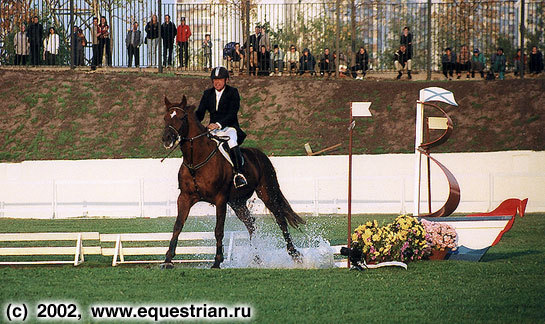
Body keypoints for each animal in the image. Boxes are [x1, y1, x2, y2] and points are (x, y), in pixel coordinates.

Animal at [162, 95, 306, 268]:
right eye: (165, 117)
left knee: (280, 219)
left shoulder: (220, 199)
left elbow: (218, 229)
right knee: (251, 224)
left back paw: (295, 254)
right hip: (237, 203)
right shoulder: (185, 197)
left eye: (182, 118)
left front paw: (217, 261)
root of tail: (260, 154)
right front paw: (168, 260)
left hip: (266, 192)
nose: (167, 139)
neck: (197, 159)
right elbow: (177, 226)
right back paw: (256, 258)